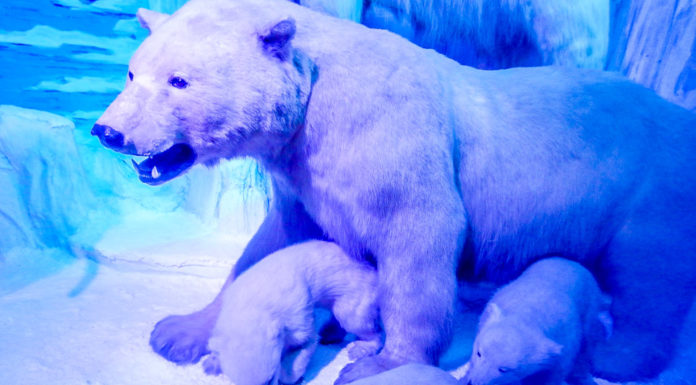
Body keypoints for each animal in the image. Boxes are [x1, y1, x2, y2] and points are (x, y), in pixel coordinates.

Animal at [94, 0, 696, 380]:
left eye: (179, 81)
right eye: (133, 73)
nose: (108, 131)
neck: (316, 96)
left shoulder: (389, 133)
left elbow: (419, 236)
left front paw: (380, 362)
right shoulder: (303, 174)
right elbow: (272, 243)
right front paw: (179, 331)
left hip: (647, 188)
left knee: (650, 278)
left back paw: (619, 358)